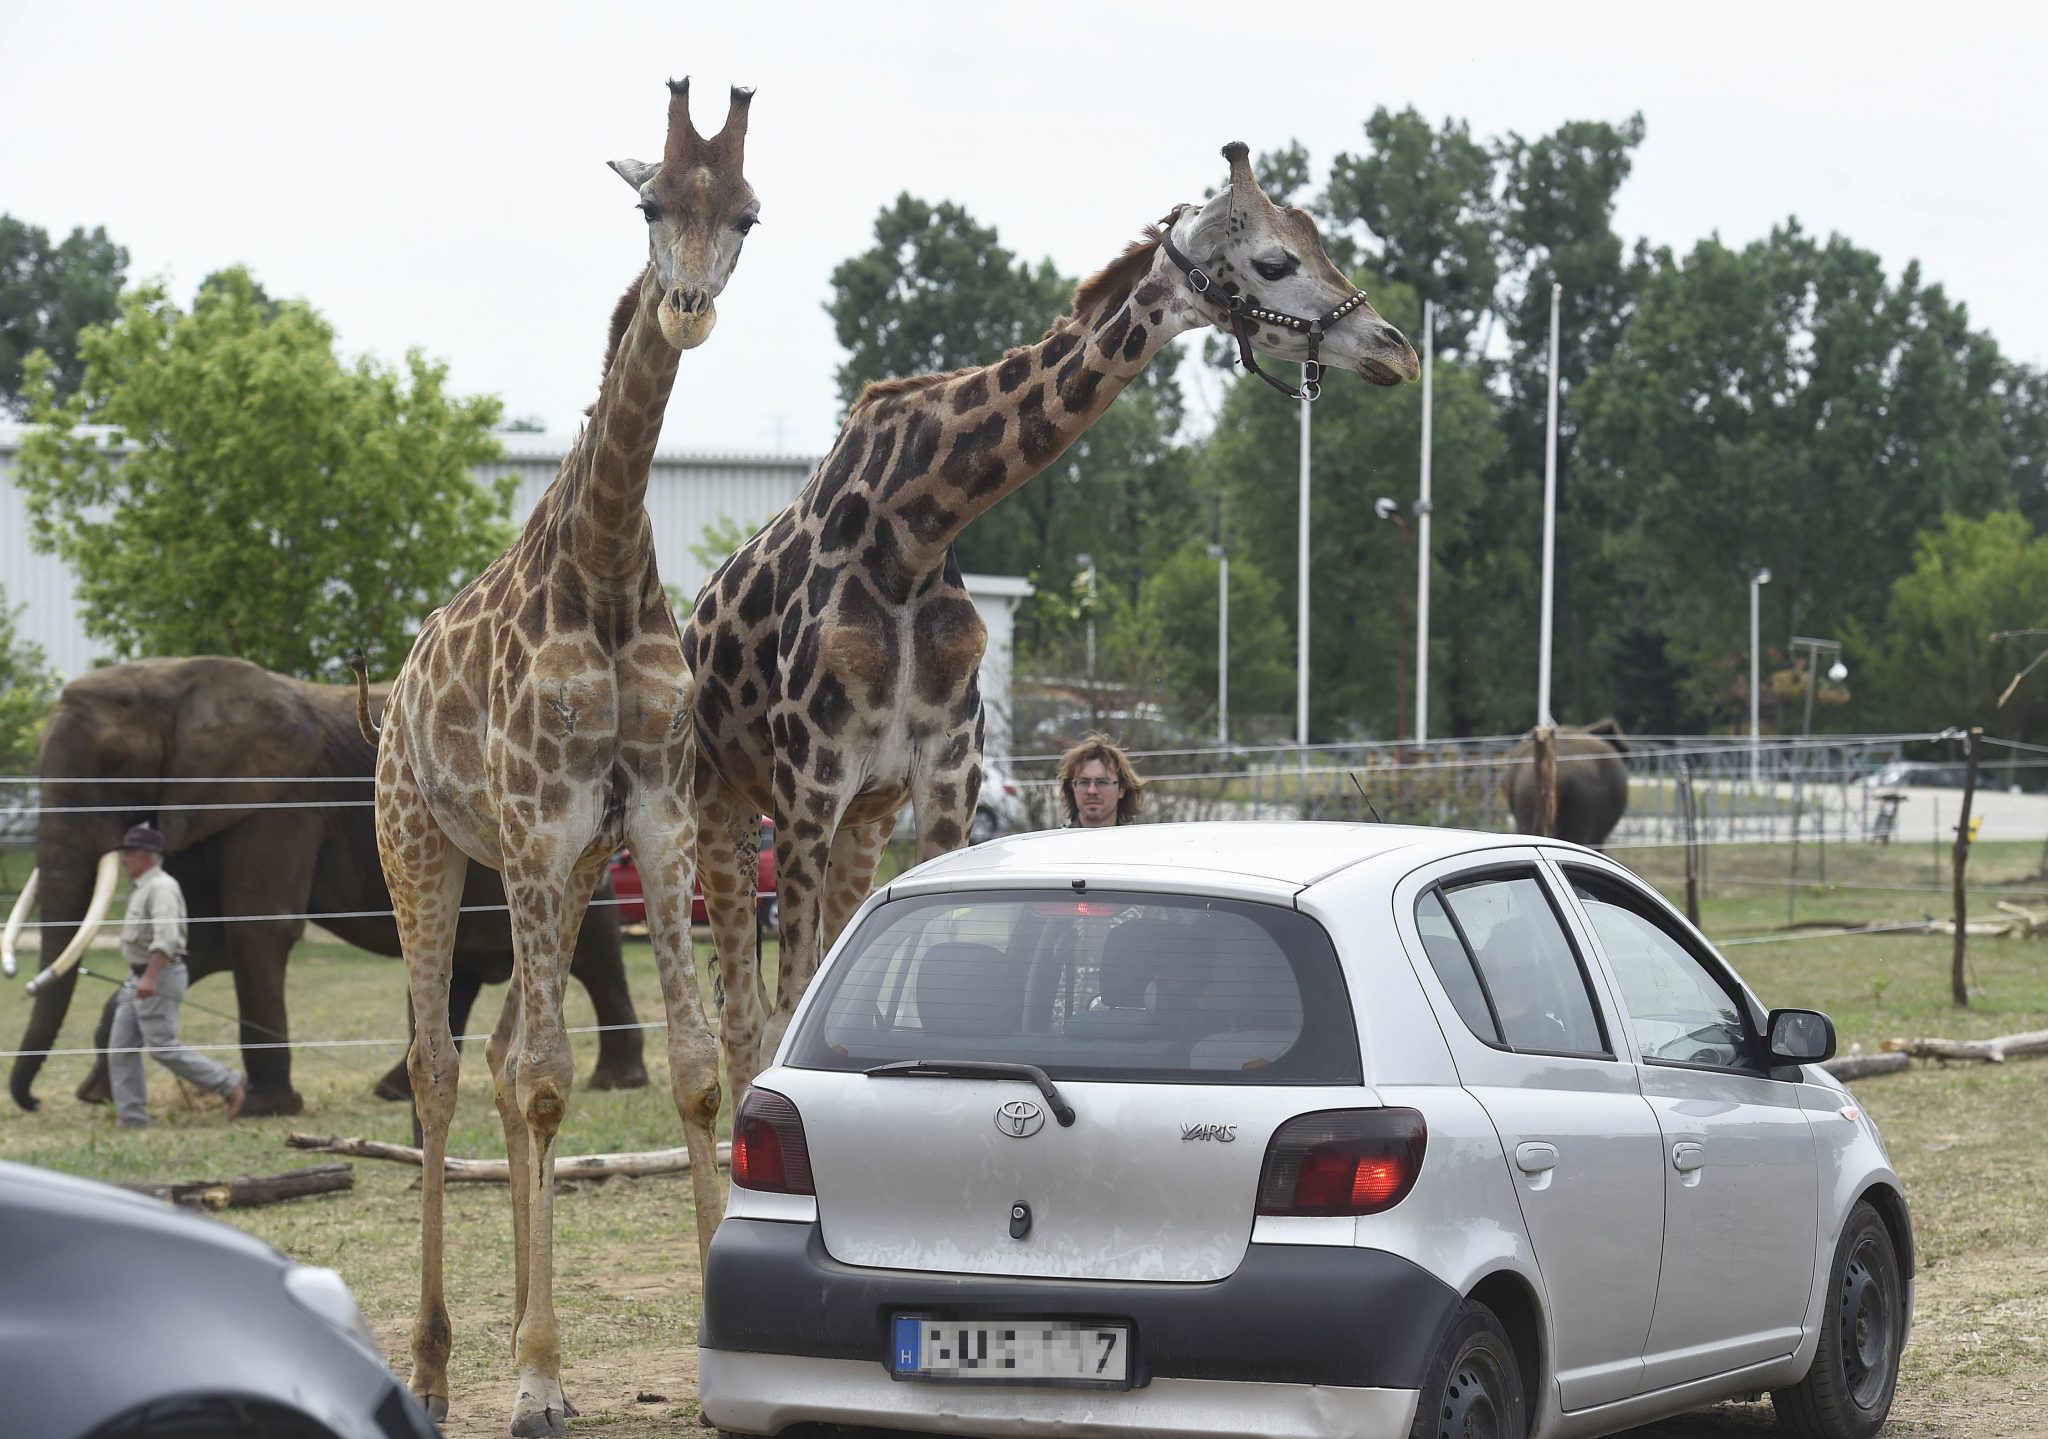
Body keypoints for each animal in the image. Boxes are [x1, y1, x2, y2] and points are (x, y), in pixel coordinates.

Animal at [6, 659, 647, 1121]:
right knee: (455, 968)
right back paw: (394, 1091)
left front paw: (262, 1109)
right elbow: (203, 941)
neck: (169, 678)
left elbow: (257, 932)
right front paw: (96, 1095)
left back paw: (617, 1082)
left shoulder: (279, 803)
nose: (32, 1101)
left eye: (115, 763)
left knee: (594, 952)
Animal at [356, 81, 765, 1439]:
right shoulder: (536, 821)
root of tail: (392, 690)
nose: (685, 307)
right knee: (443, 1068)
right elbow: (545, 1081)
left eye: (744, 213)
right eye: (649, 205)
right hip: (422, 846)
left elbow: (691, 1073)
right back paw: (436, 1366)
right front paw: (532, 1376)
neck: (606, 553)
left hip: (569, 871)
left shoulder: (653, 822)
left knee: (492, 1063)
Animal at [688, 143, 1425, 1105]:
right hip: (717, 802)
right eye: (1273, 261)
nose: (1396, 349)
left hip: (865, 815)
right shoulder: (809, 781)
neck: (912, 531)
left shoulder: (946, 775)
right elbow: (786, 1016)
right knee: (735, 1024)